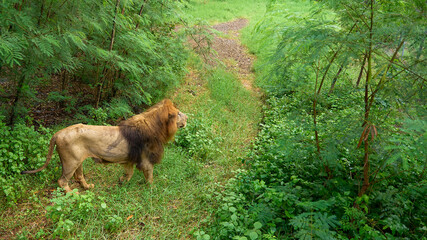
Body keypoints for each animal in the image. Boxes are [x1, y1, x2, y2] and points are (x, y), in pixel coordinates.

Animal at [22, 98, 187, 192]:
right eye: (178, 113)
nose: (187, 117)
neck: (156, 127)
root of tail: (57, 133)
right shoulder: (146, 160)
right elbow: (150, 177)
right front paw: (152, 189)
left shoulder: (130, 159)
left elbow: (129, 173)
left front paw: (121, 182)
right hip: (71, 161)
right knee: (62, 181)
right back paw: (73, 194)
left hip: (78, 161)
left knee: (79, 176)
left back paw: (88, 187)